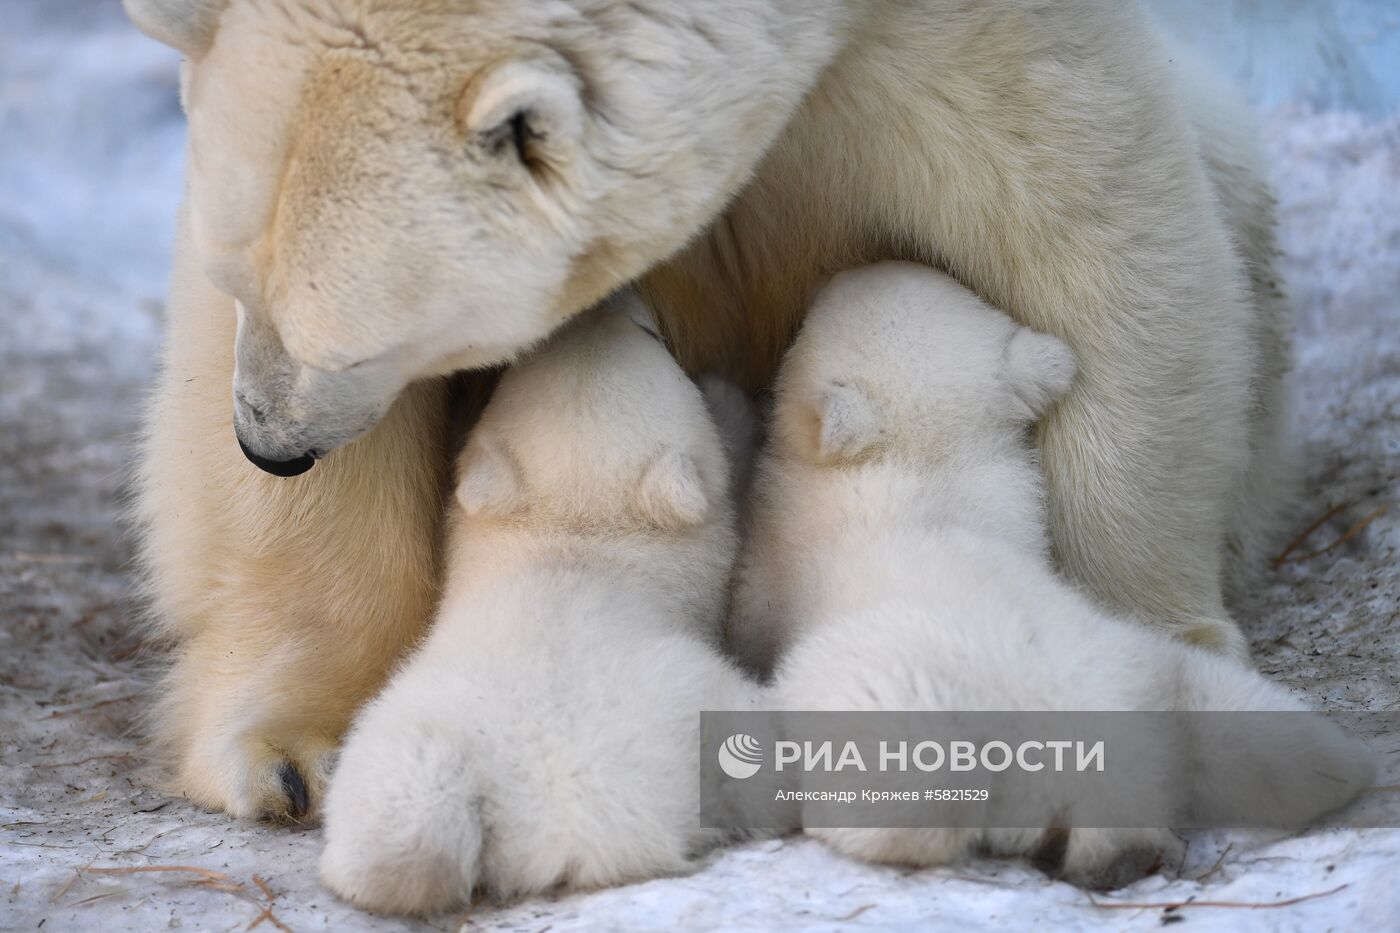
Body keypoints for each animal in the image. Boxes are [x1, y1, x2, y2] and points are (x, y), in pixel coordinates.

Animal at [128, 0, 1288, 818]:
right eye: (237, 281)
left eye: (357, 341)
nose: (271, 443)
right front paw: (298, 752)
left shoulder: (959, 36)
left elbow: (1096, 239)